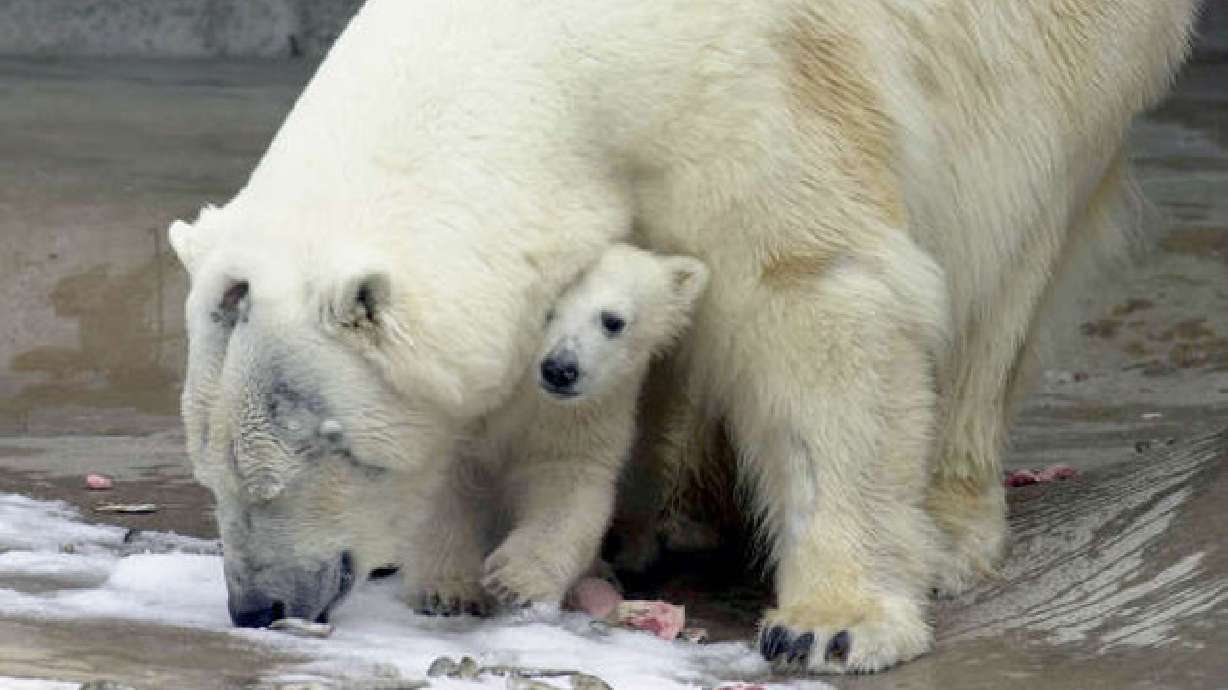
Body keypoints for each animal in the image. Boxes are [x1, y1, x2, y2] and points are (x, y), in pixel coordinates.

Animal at [402, 243, 707, 611]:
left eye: (612, 321)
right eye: (543, 309)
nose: (560, 369)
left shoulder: (581, 416)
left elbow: (564, 487)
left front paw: (513, 581)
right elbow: (443, 483)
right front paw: (450, 591)